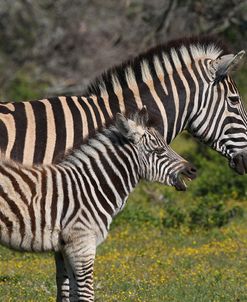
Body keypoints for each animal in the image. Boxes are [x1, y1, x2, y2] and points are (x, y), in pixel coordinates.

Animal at [0, 108, 196, 300]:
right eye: (159, 150)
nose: (192, 170)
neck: (91, 186)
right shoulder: (82, 243)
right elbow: (86, 294)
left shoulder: (68, 247)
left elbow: (74, 293)